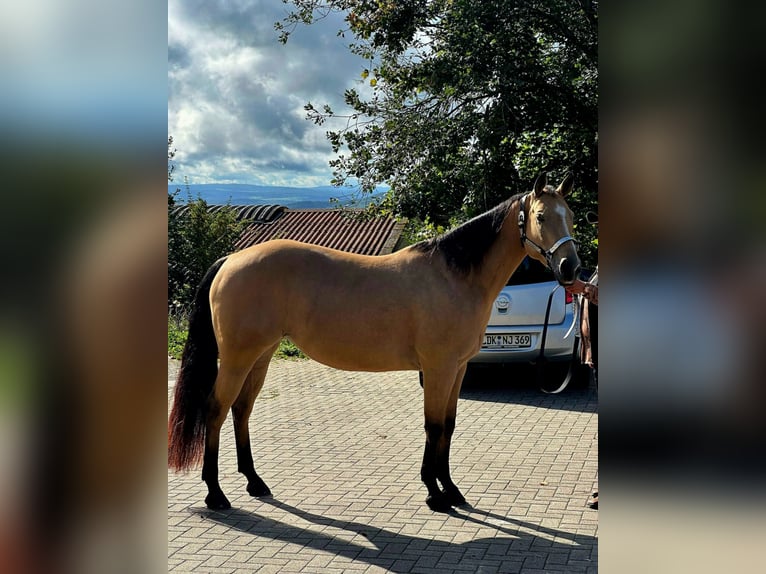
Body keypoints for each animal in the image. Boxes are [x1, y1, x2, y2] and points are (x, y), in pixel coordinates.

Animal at [168, 172, 581, 512]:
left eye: (572, 216)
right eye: (541, 217)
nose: (571, 269)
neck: (454, 276)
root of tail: (231, 259)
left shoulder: (458, 369)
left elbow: (449, 425)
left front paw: (450, 489)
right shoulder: (438, 369)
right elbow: (433, 426)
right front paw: (434, 494)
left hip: (261, 355)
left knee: (241, 410)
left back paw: (255, 483)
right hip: (238, 358)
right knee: (216, 410)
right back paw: (215, 494)